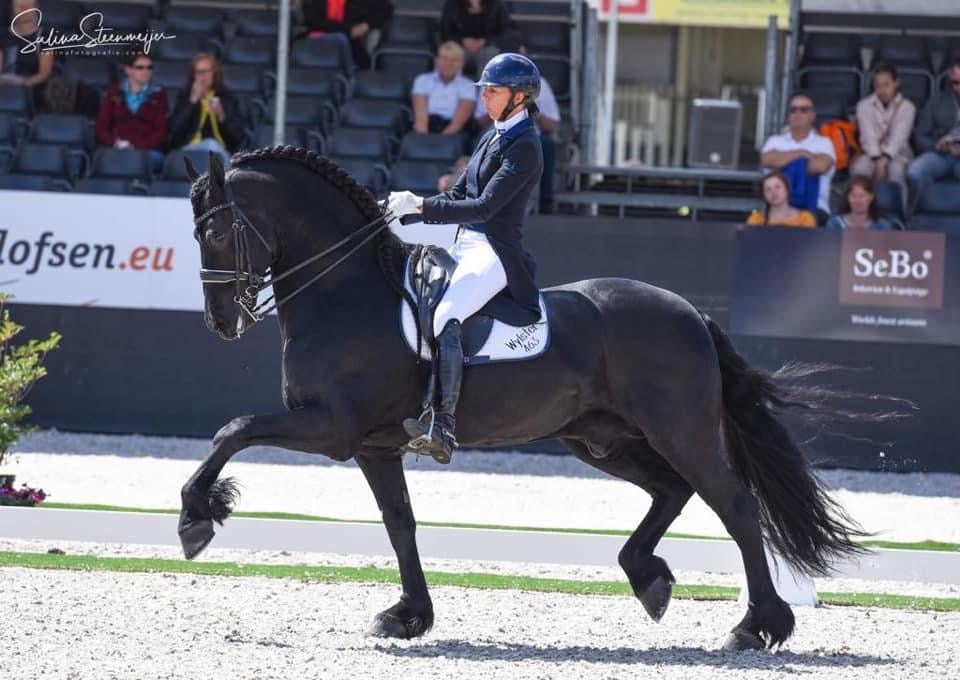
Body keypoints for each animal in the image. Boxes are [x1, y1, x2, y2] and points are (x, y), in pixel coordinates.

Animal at [180, 146, 869, 651]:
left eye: (216, 229)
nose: (220, 321)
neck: (348, 294)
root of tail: (690, 313)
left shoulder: (331, 428)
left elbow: (233, 429)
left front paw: (196, 519)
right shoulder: (375, 447)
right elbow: (400, 523)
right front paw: (408, 615)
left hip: (682, 431)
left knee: (734, 505)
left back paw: (758, 627)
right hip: (600, 440)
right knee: (672, 490)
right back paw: (650, 579)